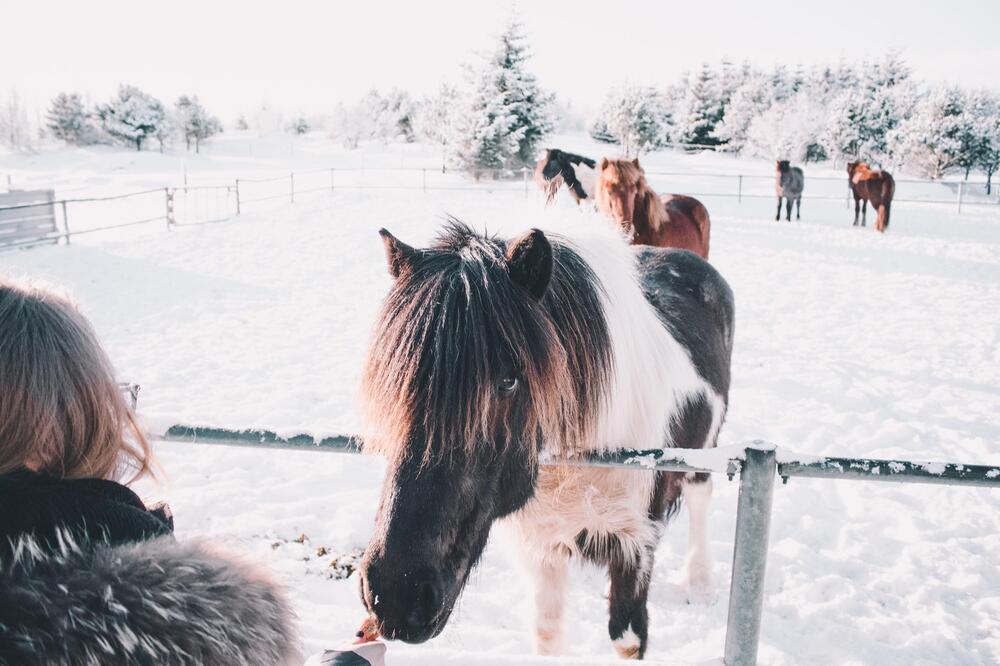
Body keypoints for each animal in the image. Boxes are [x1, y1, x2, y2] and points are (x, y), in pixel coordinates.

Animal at [360, 219, 736, 660]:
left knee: (700, 496)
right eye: (395, 381)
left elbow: (627, 639)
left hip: (703, 451)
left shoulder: (637, 544)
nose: (395, 594)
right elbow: (548, 636)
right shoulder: (542, 548)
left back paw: (700, 581)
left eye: (508, 381)